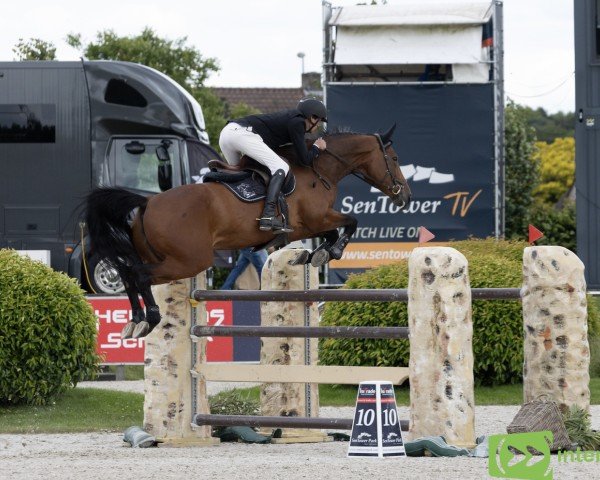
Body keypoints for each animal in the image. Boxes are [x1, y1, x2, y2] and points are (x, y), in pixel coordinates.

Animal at [85, 125, 412, 340]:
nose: (405, 196)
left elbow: (332, 232)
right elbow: (351, 221)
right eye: (395, 159)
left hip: (162, 256)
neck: (319, 169)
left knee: (128, 273)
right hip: (189, 261)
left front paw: (313, 255)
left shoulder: (309, 226)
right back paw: (150, 318)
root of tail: (147, 202)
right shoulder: (315, 219)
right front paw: (330, 252)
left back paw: (134, 320)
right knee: (139, 275)